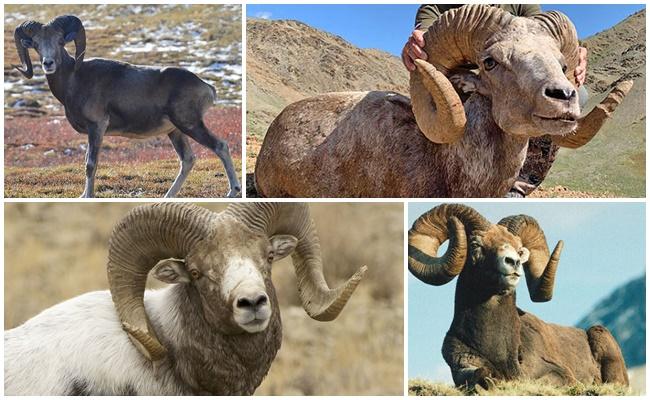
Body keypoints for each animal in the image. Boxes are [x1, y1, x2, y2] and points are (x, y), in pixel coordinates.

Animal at [13, 15, 241, 198]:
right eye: (36, 44)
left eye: (60, 41)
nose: (48, 64)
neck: (75, 80)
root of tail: (207, 87)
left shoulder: (97, 127)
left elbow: (90, 164)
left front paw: (88, 197)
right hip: (175, 131)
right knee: (187, 160)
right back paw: (168, 196)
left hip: (190, 124)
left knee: (220, 146)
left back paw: (233, 192)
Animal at [408, 203, 629, 389]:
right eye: (476, 245)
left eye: (520, 250)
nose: (513, 262)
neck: (499, 350)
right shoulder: (463, 368)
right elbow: (480, 373)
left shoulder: (560, 375)